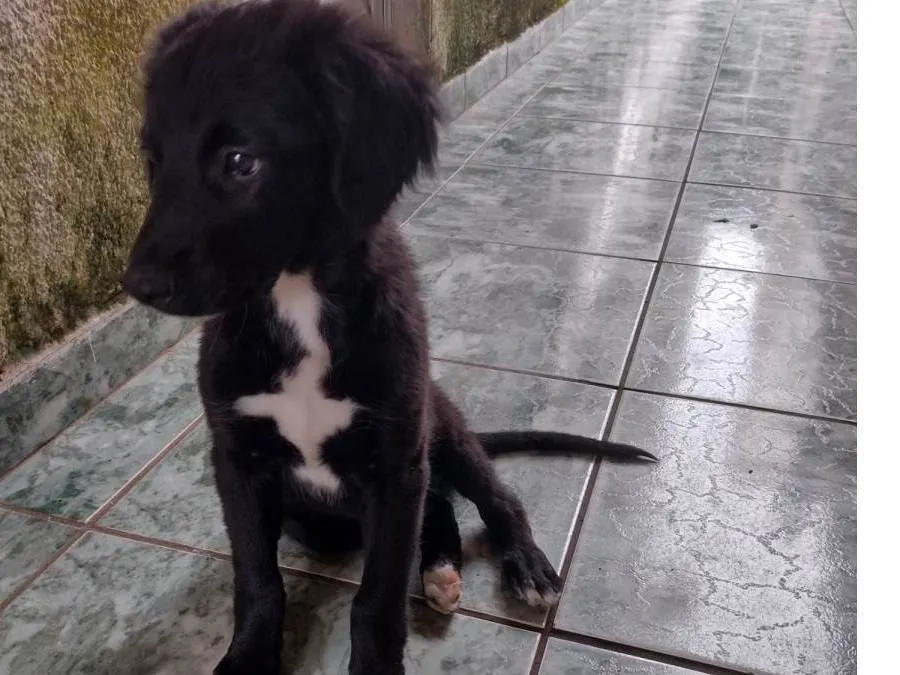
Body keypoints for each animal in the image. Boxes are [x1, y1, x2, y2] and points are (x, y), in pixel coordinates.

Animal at [121, 1, 656, 673]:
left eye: (241, 161)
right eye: (152, 161)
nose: (137, 285)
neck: (298, 303)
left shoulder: (396, 461)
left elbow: (377, 597)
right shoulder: (238, 458)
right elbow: (257, 578)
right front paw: (248, 657)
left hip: (440, 427)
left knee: (494, 497)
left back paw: (523, 565)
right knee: (437, 508)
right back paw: (440, 571)